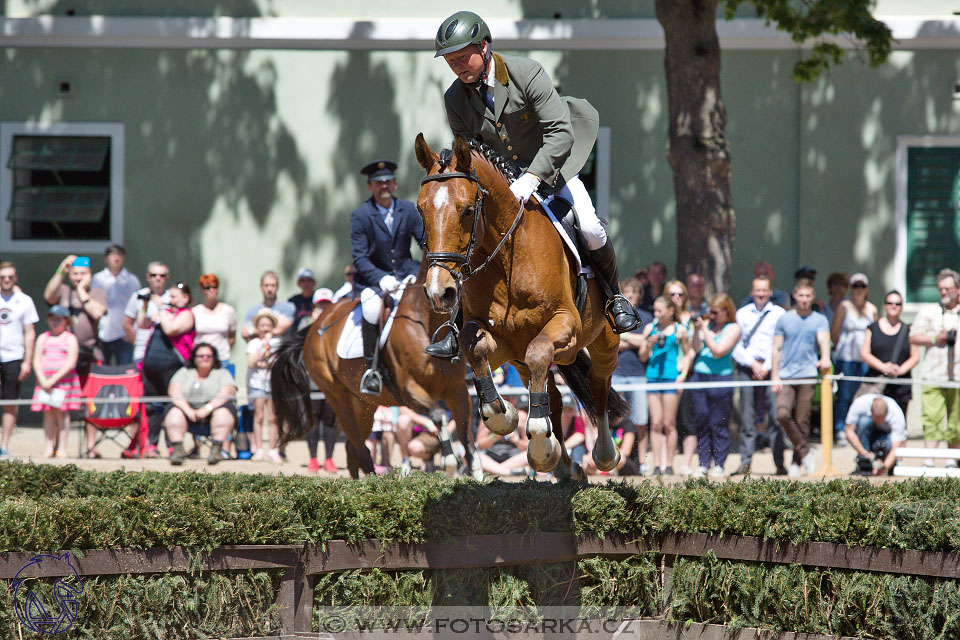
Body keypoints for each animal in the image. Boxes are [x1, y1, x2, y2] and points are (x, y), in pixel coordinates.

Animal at [270, 262, 476, 478]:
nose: (444, 293)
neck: (426, 325)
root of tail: (315, 326)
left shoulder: (457, 391)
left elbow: (466, 436)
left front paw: (476, 473)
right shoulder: (410, 392)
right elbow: (439, 415)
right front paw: (450, 462)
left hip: (362, 404)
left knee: (352, 449)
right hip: (338, 399)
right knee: (360, 449)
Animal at [414, 134, 628, 480]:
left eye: (467, 210)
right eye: (420, 210)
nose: (439, 292)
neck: (506, 262)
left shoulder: (565, 323)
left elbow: (540, 352)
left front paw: (538, 442)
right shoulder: (502, 343)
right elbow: (472, 346)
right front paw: (505, 416)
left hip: (604, 342)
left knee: (599, 384)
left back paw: (604, 454)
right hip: (525, 361)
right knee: (552, 392)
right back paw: (561, 464)